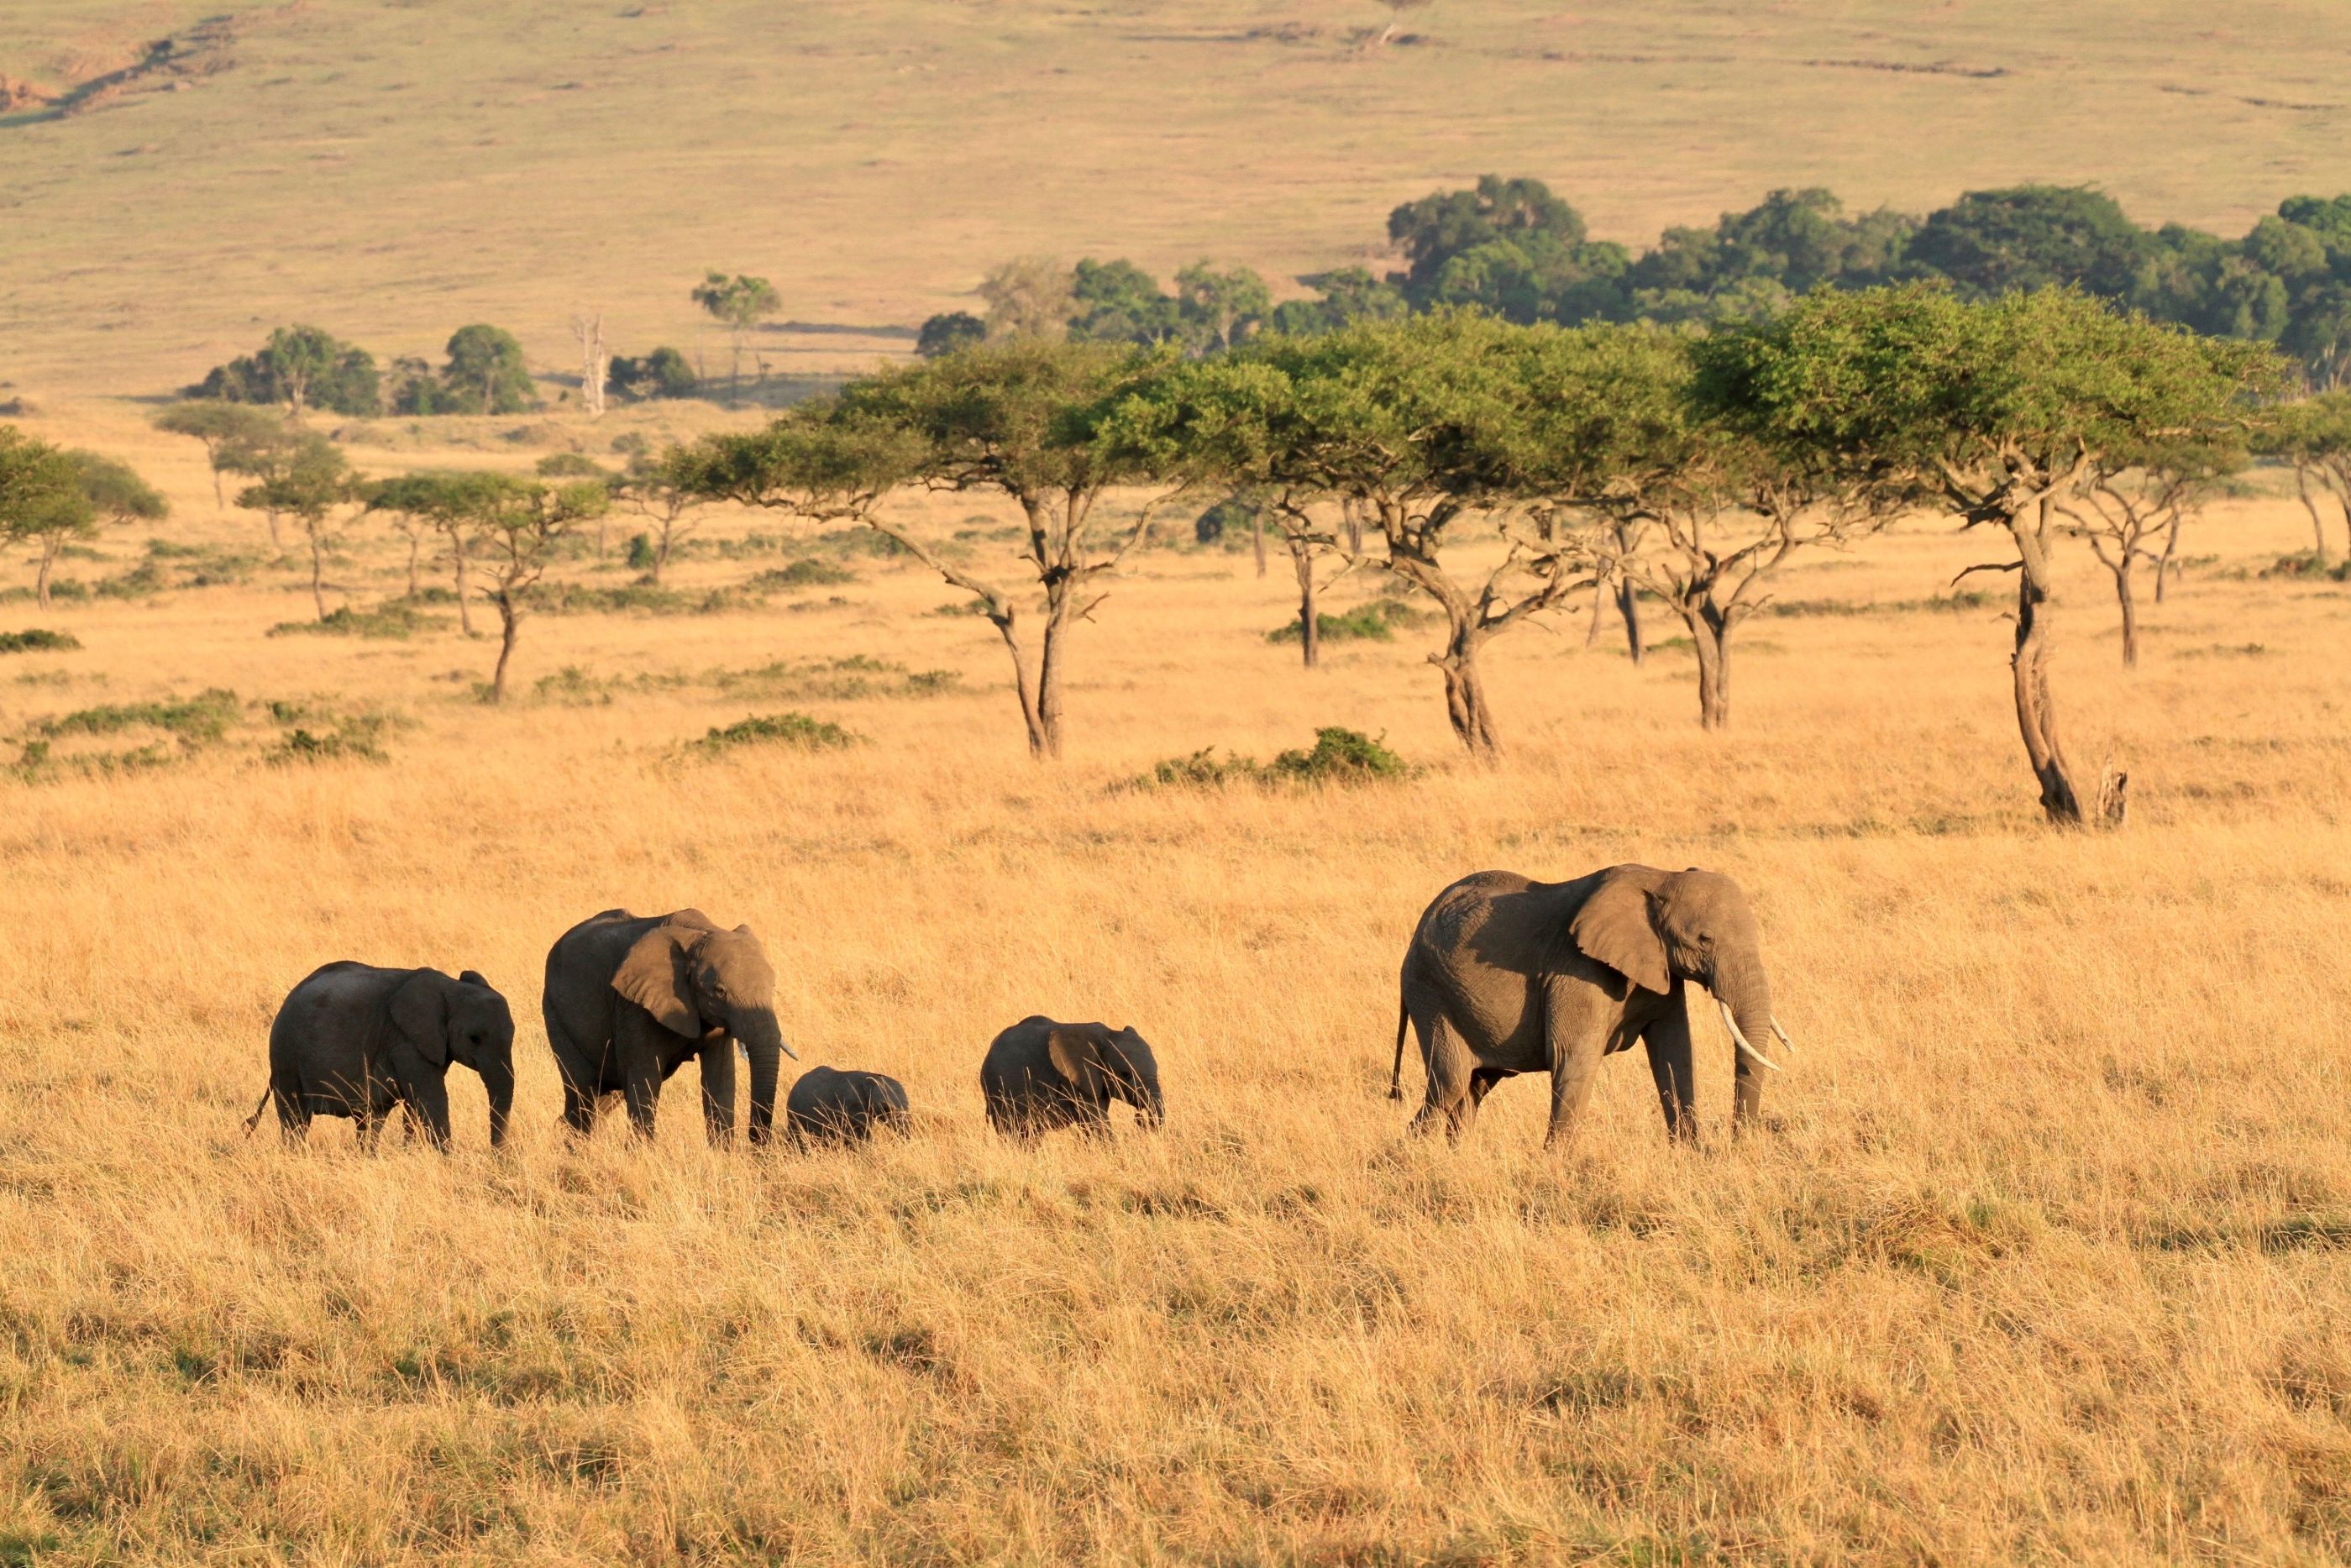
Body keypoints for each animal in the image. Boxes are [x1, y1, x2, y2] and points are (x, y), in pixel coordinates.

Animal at [244, 962, 516, 1149]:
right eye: (474, 1038)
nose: (497, 1160)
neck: (451, 987)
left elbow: (414, 1106)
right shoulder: (406, 1042)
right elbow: (431, 1101)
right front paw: (447, 1161)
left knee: (370, 1121)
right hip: (285, 1055)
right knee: (295, 1120)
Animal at [541, 907, 797, 1146]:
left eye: (773, 986)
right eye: (720, 992)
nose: (758, 1142)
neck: (700, 934)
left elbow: (721, 1078)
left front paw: (724, 1155)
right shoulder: (634, 1007)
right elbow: (645, 1079)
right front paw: (641, 1155)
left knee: (606, 1096)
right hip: (556, 1014)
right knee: (583, 1094)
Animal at [1389, 864, 1794, 1148]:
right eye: (1704, 939)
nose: (1739, 1143)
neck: (1662, 878)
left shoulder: (1659, 968)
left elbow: (1675, 1054)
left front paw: (1691, 1155)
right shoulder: (1576, 971)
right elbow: (1574, 1057)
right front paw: (1557, 1166)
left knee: (1474, 1087)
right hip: (1430, 990)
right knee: (1450, 1083)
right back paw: (1408, 1159)